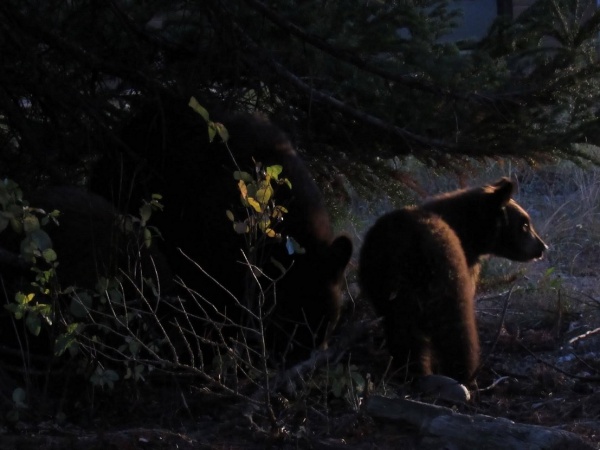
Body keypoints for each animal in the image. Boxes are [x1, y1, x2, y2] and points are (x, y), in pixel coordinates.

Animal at [358, 179, 548, 384]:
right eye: (525, 225)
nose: (543, 247)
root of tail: (415, 244)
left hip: (391, 288)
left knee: (404, 331)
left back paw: (411, 371)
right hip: (447, 279)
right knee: (457, 331)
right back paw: (464, 376)